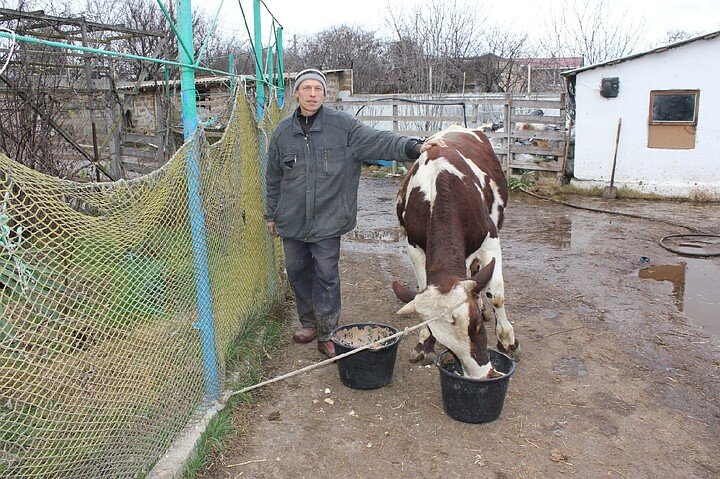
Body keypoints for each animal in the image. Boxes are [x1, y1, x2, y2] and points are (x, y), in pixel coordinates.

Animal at [390, 125, 520, 380]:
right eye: (445, 343)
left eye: (476, 324)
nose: (482, 376)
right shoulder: (414, 248)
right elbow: (422, 288)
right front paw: (424, 342)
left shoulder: (490, 240)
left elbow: (496, 294)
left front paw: (507, 340)